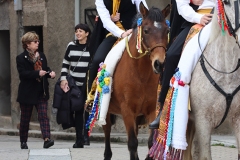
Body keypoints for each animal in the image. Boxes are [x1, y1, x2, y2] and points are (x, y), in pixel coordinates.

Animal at [102, 2, 169, 160]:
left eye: (167, 30)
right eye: (146, 30)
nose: (160, 64)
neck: (141, 74)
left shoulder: (151, 109)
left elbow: (150, 143)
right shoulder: (127, 110)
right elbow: (132, 143)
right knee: (107, 130)